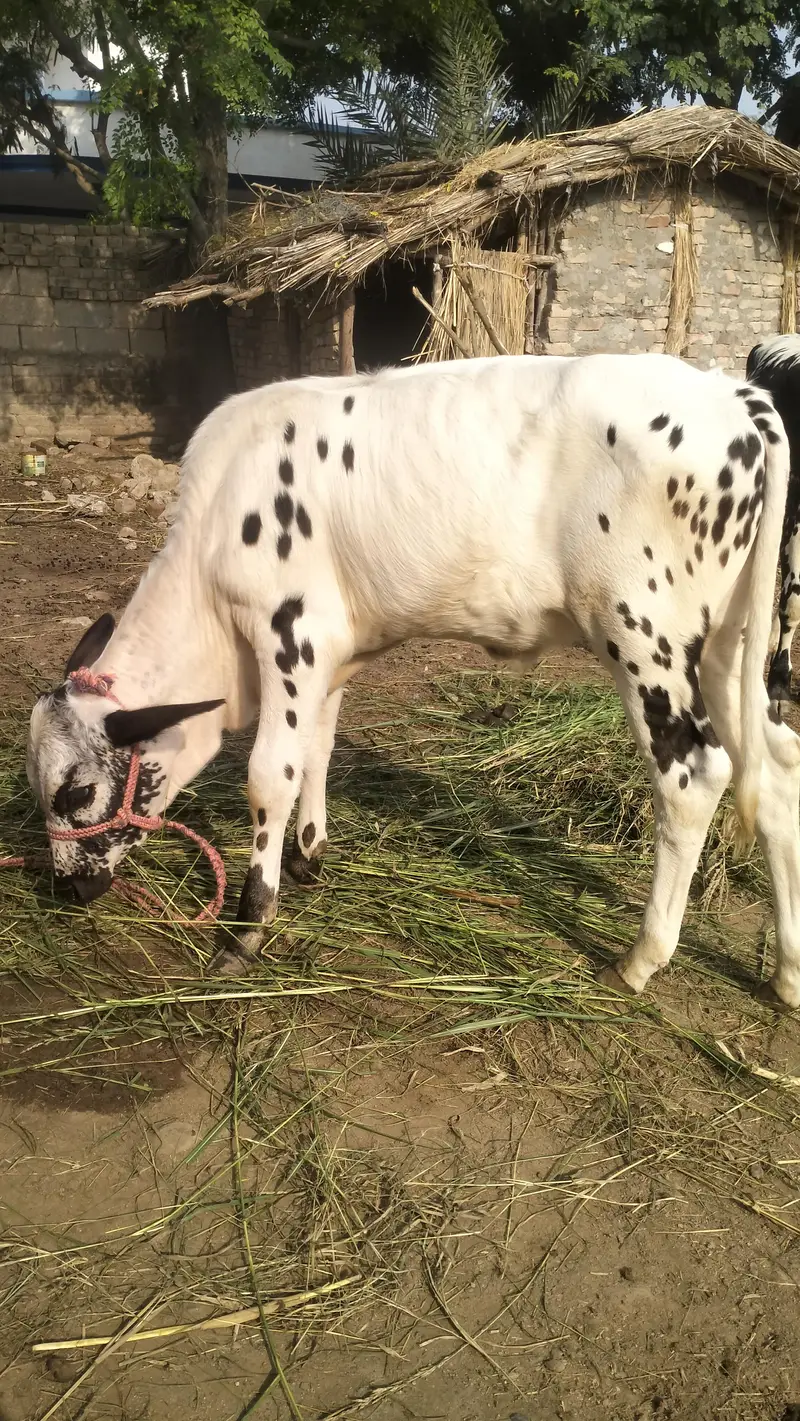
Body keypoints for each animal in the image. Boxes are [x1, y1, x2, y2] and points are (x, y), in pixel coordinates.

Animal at [25, 352, 800, 1010]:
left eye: (78, 791)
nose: (65, 887)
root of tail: (734, 394)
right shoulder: (329, 655)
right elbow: (319, 749)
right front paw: (310, 854)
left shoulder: (290, 635)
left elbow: (268, 775)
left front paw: (248, 927)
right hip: (725, 648)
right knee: (777, 768)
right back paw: (787, 974)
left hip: (645, 636)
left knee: (694, 775)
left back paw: (640, 959)